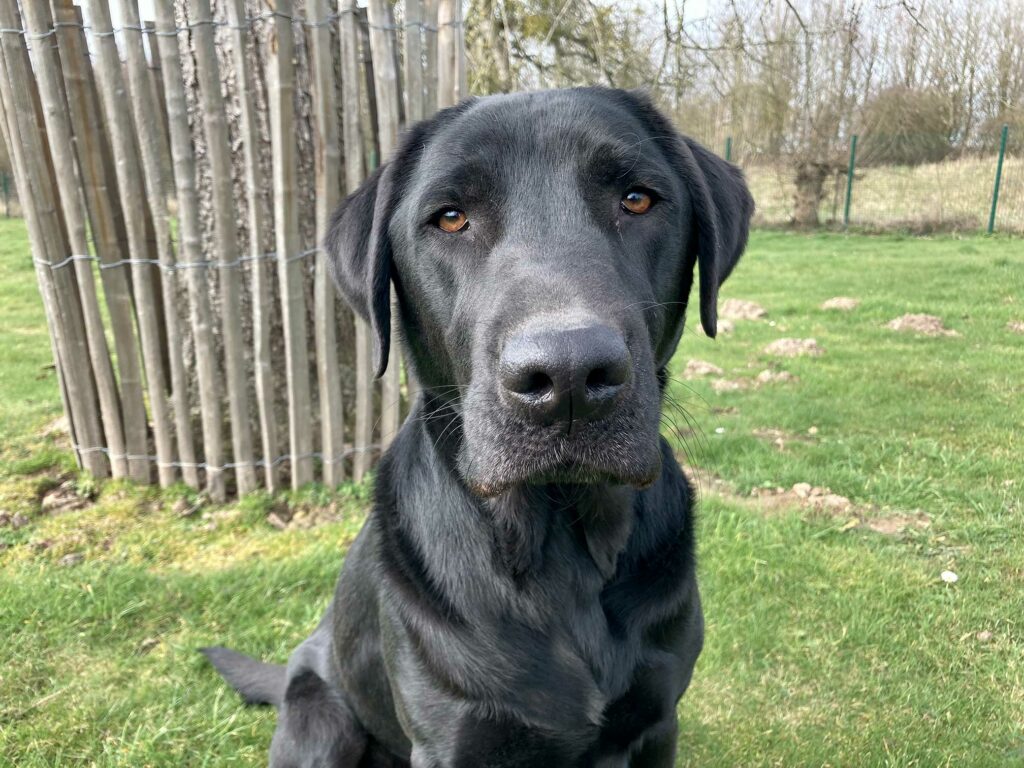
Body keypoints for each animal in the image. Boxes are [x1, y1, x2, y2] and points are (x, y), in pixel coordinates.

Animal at [205, 87, 753, 765]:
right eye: (449, 217)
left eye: (637, 199)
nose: (568, 376)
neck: (561, 542)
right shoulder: (454, 739)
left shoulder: (657, 725)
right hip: (321, 725)